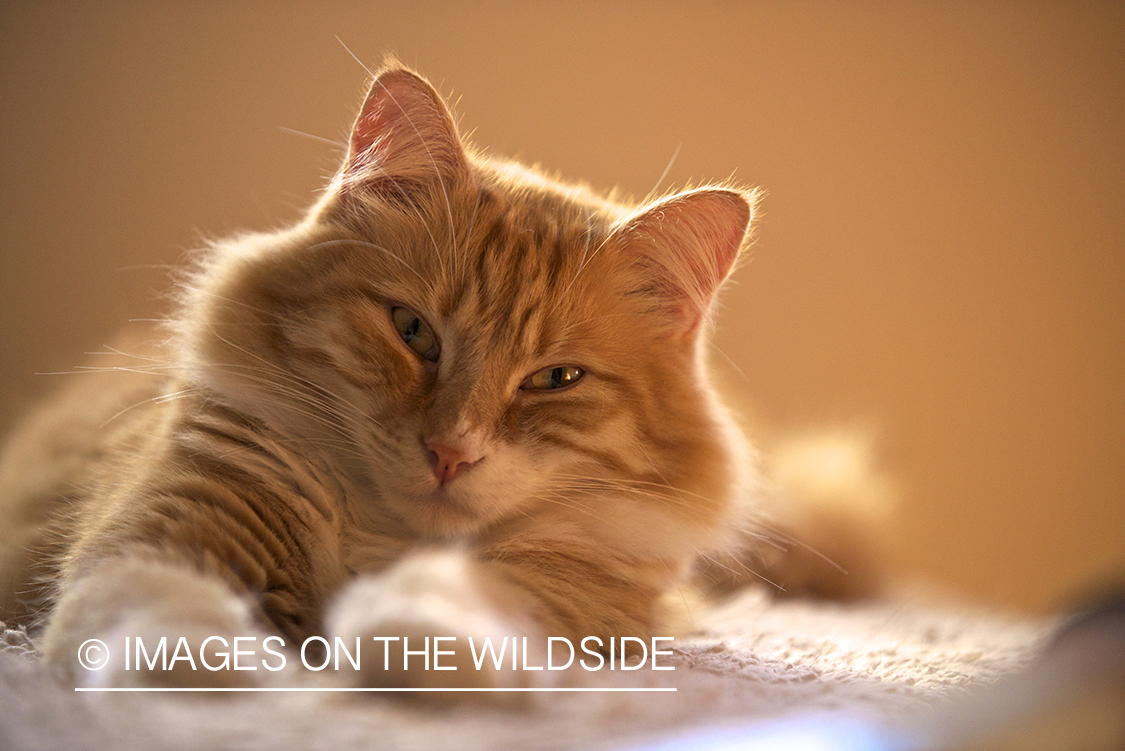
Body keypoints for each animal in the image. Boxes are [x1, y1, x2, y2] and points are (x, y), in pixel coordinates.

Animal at [0, 61, 765, 688]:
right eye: (413, 330)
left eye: (556, 379)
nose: (450, 453)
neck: (382, 543)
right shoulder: (175, 524)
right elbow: (165, 622)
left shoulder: (577, 586)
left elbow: (468, 605)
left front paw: (399, 644)